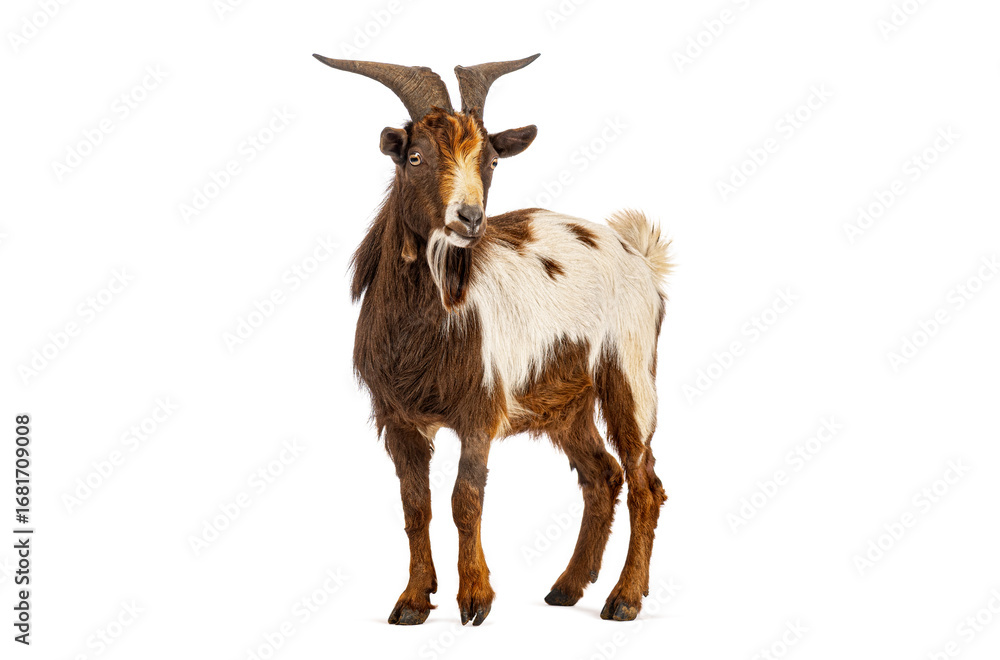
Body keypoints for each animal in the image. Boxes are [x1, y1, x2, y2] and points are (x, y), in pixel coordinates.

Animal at [314, 53, 671, 625]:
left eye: (492, 162)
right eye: (415, 156)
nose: (470, 218)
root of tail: (638, 254)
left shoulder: (479, 409)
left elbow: (465, 499)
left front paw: (475, 600)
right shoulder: (397, 418)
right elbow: (415, 506)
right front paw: (412, 602)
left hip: (630, 375)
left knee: (644, 483)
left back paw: (624, 599)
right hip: (565, 402)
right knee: (602, 476)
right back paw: (567, 587)